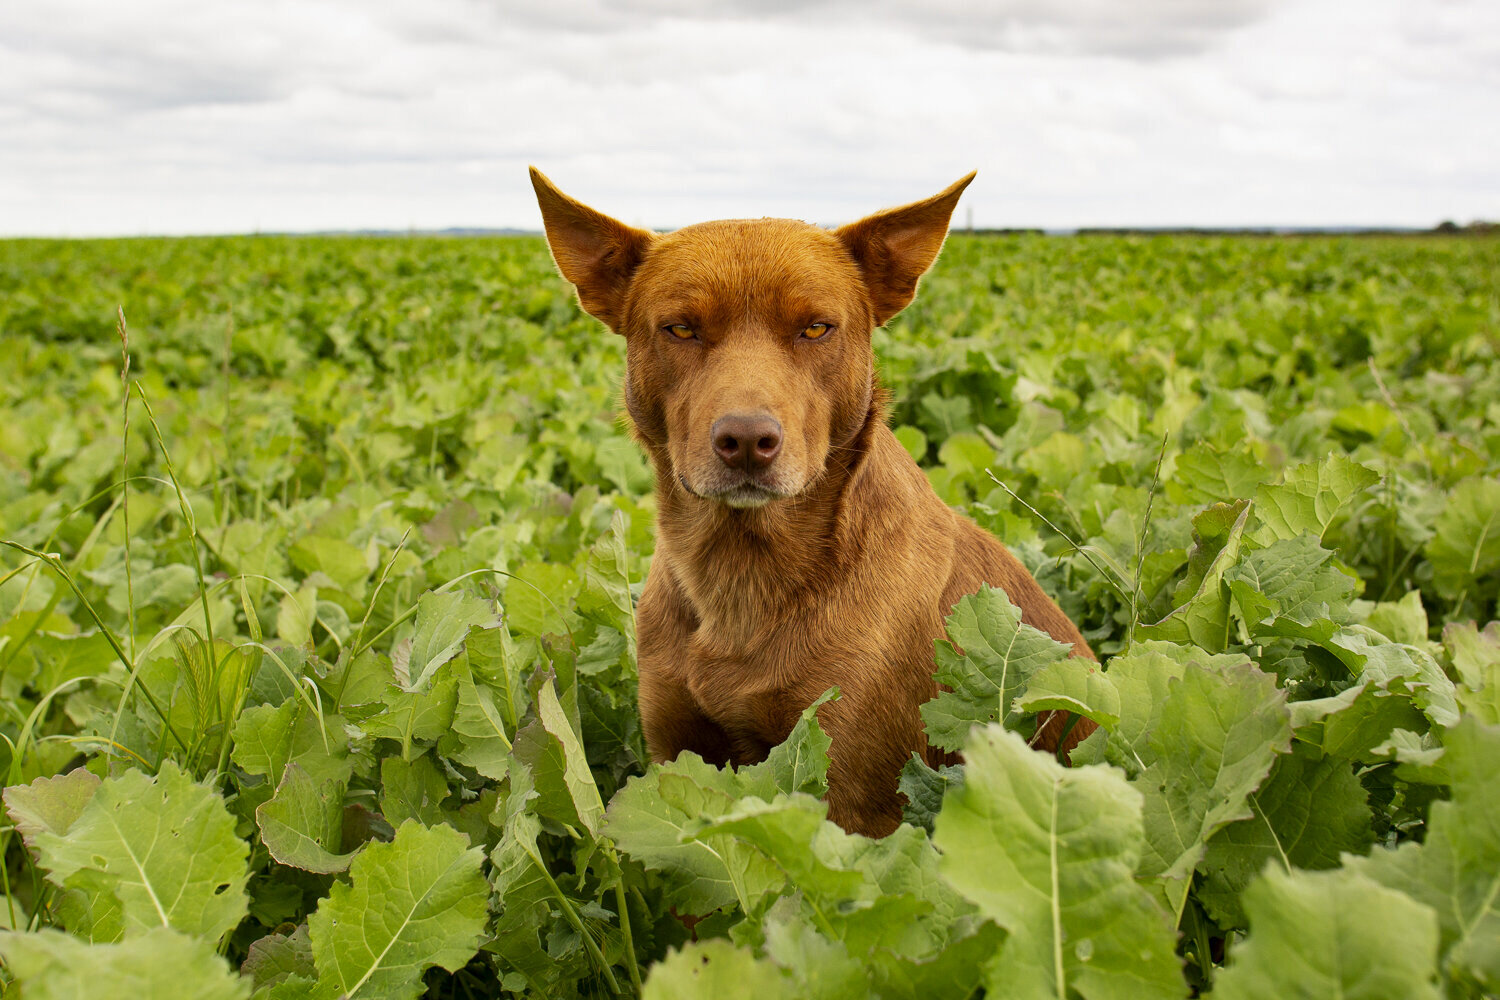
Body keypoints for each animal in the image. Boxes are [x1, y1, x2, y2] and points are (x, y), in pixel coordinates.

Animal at [534, 166, 1098, 839]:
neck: (742, 574)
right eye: (681, 329)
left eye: (815, 328)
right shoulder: (676, 755)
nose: (747, 440)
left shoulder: (855, 797)